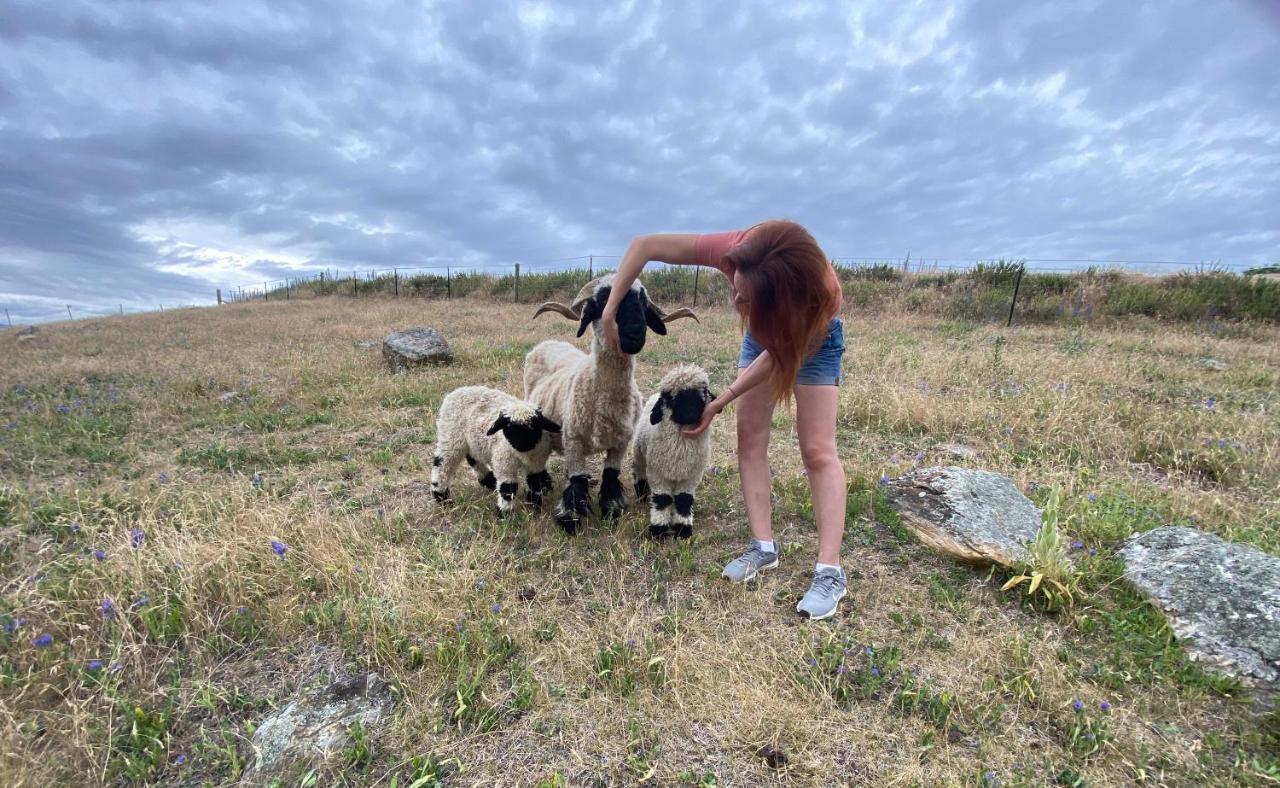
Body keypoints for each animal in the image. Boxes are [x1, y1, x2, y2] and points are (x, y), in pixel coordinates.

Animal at [430, 386, 560, 516]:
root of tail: (456, 392)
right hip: (451, 436)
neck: (523, 455)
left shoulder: (536, 463)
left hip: (471, 440)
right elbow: (508, 488)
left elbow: (535, 483)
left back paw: (489, 481)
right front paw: (505, 514)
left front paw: (534, 506)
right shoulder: (504, 463)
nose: (521, 445)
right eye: (508, 427)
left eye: (533, 426)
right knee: (442, 464)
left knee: (473, 457)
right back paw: (442, 496)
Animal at [522, 273, 701, 532]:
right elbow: (576, 480)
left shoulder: (621, 442)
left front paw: (611, 510)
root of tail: (547, 343)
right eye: (605, 300)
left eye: (642, 301)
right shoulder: (574, 438)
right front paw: (570, 519)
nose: (635, 335)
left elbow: (609, 476)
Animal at [632, 365, 716, 539]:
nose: (690, 414)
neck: (680, 449)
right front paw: (658, 530)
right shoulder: (658, 475)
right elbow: (662, 500)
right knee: (639, 471)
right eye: (671, 398)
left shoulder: (690, 477)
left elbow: (684, 500)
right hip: (640, 454)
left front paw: (683, 529)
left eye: (702, 392)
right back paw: (642, 494)